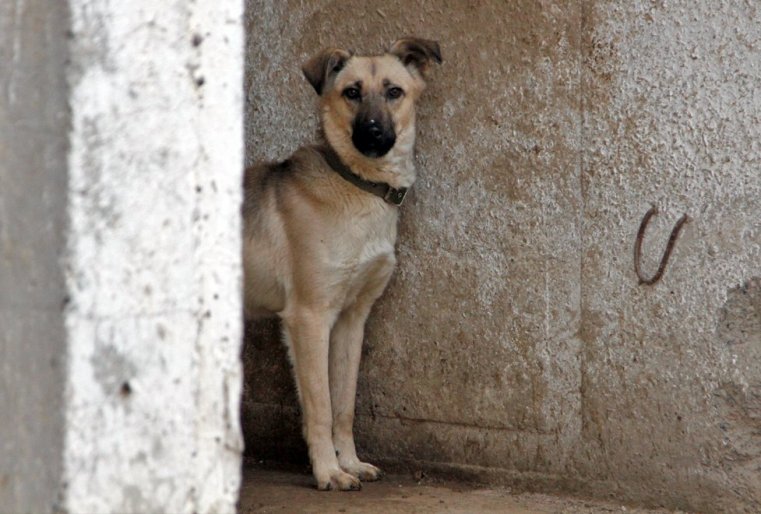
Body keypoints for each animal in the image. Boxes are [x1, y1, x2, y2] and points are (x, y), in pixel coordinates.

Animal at [243, 37, 442, 488]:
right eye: (351, 92)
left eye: (394, 91)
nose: (372, 132)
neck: (359, 186)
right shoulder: (309, 317)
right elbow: (319, 406)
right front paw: (328, 472)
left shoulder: (352, 320)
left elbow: (343, 404)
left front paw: (349, 462)